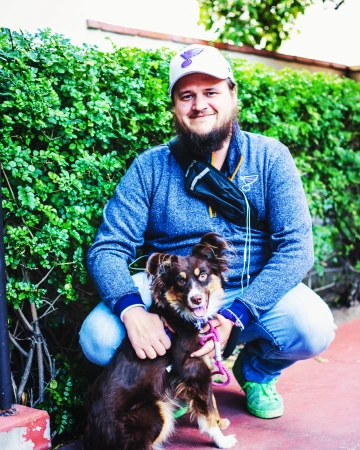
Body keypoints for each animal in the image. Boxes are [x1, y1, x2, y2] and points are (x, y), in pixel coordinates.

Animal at [83, 232, 238, 450]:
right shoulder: (195, 370)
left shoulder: (202, 366)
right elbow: (206, 412)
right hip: (155, 410)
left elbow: (212, 402)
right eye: (180, 281)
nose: (196, 299)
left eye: (203, 275)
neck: (182, 318)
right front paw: (222, 440)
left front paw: (219, 420)